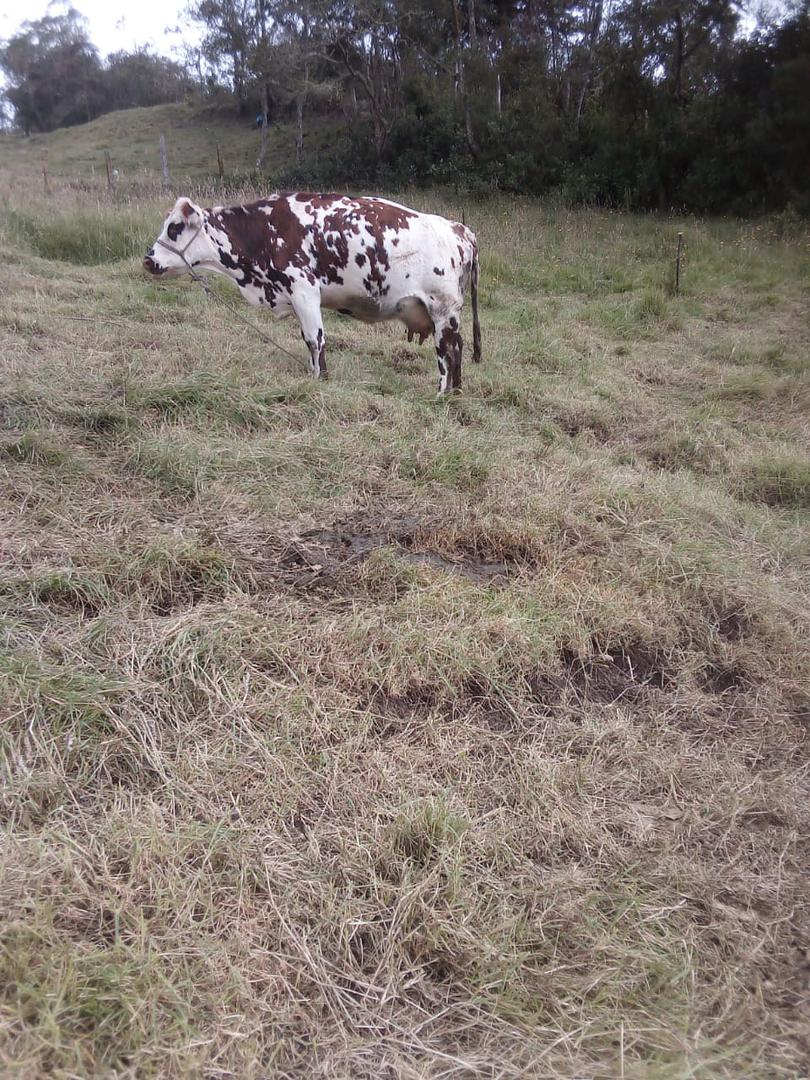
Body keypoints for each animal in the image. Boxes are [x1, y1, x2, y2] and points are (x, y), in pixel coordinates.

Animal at [143, 193, 481, 394]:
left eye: (175, 227)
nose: (148, 259)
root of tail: (460, 229)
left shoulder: (304, 290)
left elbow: (315, 340)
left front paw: (321, 380)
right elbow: (308, 343)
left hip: (442, 311)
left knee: (447, 352)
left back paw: (441, 393)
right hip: (448, 316)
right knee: (460, 347)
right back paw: (455, 393)